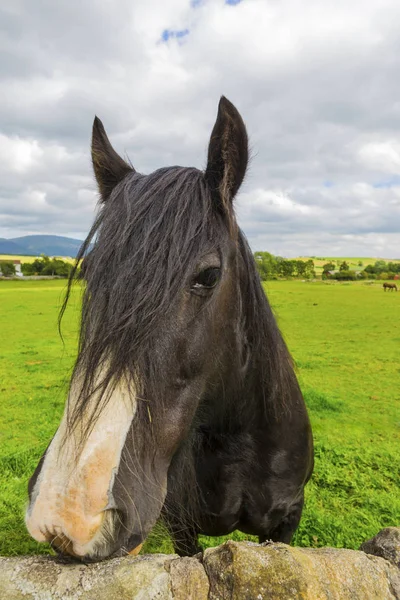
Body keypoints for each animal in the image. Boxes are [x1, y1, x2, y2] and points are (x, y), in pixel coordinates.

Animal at [25, 96, 314, 560]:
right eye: (89, 272)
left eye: (209, 276)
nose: (69, 511)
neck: (236, 442)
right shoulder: (181, 525)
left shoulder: (285, 523)